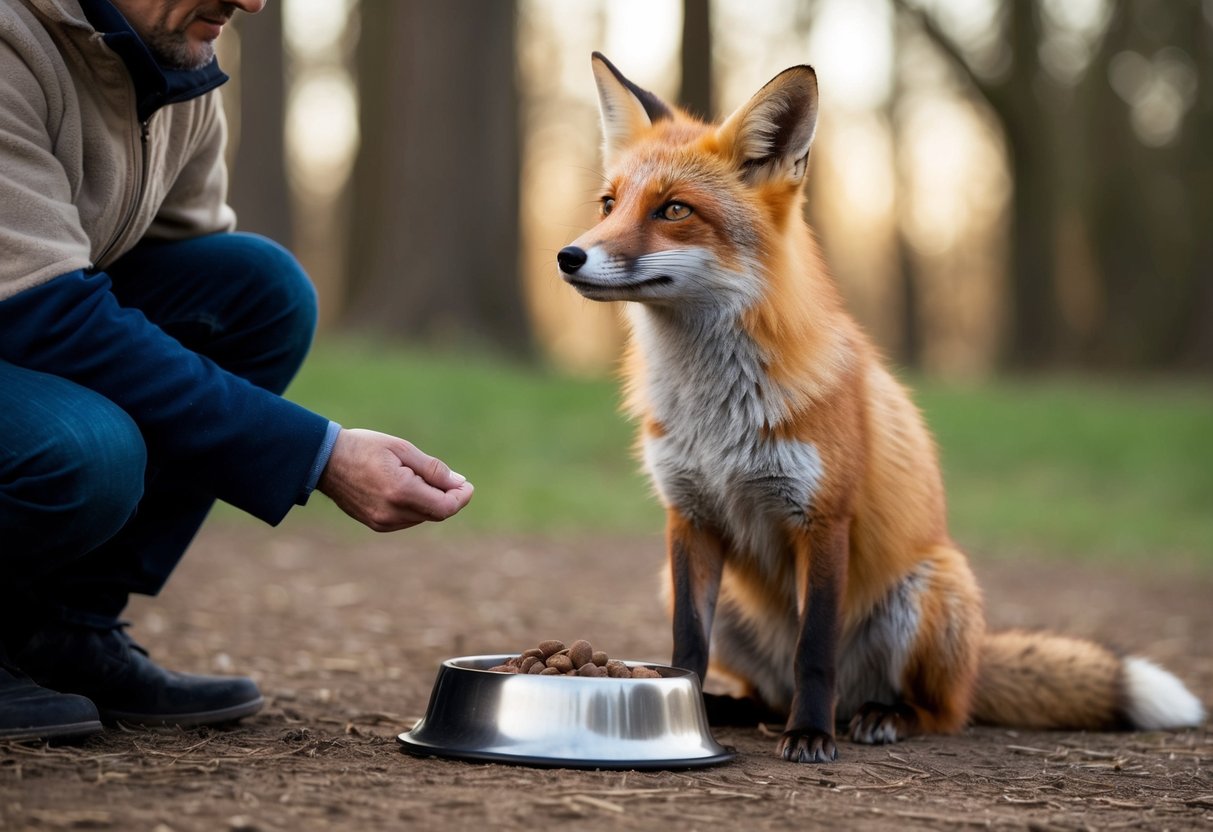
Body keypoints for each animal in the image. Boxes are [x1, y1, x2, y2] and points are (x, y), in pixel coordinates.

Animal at [555, 53, 1206, 763]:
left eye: (673, 208)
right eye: (609, 203)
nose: (568, 256)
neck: (715, 414)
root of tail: (973, 662)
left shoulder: (822, 519)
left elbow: (815, 650)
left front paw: (810, 736)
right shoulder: (690, 518)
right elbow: (686, 647)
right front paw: (681, 716)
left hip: (930, 593)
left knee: (939, 711)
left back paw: (876, 716)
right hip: (709, 597)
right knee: (769, 694)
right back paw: (738, 708)